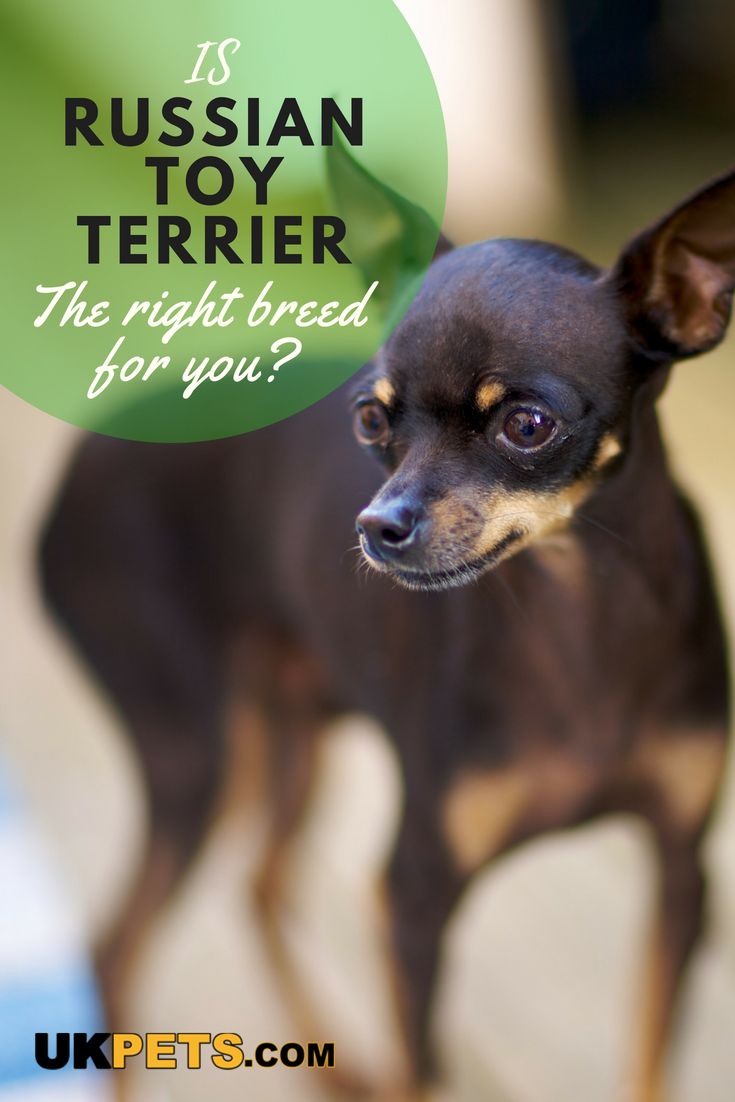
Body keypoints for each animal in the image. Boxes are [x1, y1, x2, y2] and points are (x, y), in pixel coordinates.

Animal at [43, 165, 731, 1102]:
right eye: (371, 421)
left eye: (526, 425)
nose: (376, 525)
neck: (584, 611)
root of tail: (70, 474)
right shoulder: (411, 898)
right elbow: (422, 1068)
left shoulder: (681, 871)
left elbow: (648, 1059)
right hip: (196, 756)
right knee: (117, 950)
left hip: (287, 735)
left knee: (259, 886)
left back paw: (332, 1062)